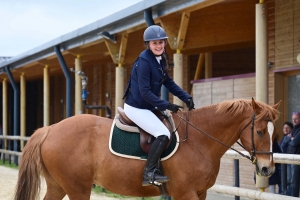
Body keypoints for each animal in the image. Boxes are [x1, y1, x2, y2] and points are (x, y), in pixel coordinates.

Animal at [13, 97, 282, 199]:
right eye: (259, 132)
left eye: (273, 132)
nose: (267, 170)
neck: (199, 140)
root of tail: (49, 129)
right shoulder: (185, 193)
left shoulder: (200, 192)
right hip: (77, 188)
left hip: (58, 185)